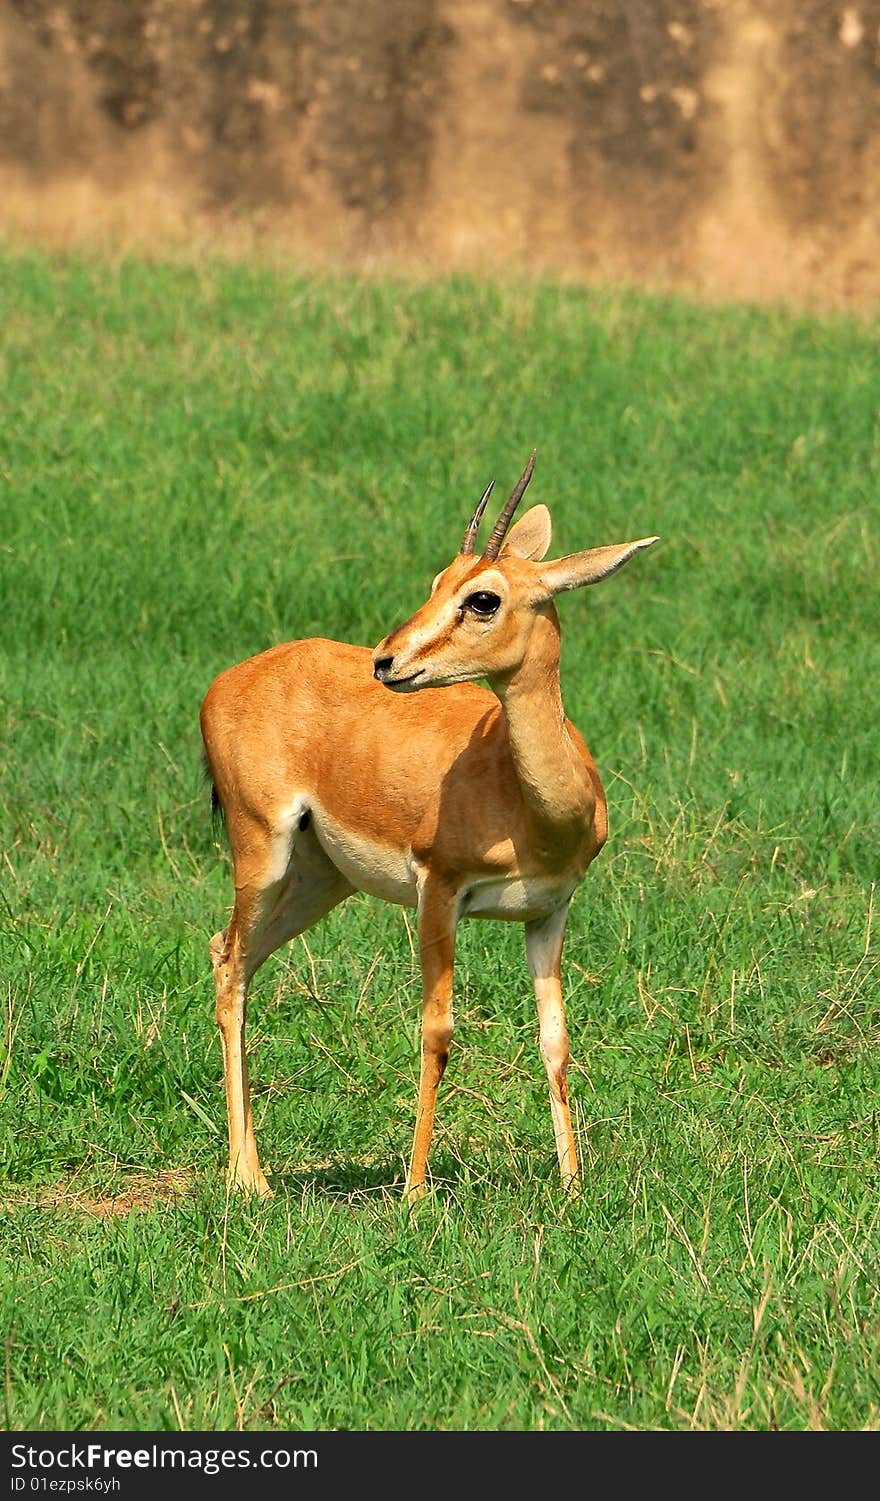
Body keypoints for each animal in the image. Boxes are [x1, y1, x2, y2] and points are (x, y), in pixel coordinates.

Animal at [198, 450, 651, 1200]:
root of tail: (227, 681)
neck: (532, 809)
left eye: (482, 597)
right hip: (260, 851)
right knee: (231, 960)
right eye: (440, 581)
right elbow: (436, 1031)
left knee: (234, 953)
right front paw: (413, 1192)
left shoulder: (548, 911)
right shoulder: (438, 891)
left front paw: (571, 1184)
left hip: (321, 879)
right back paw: (249, 1179)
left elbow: (555, 1039)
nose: (387, 660)